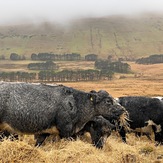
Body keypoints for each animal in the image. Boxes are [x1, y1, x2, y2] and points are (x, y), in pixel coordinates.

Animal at [0, 81, 129, 146]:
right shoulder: (66, 131)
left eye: (108, 134)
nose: (123, 109)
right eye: (108, 101)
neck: (77, 102)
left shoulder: (44, 132)